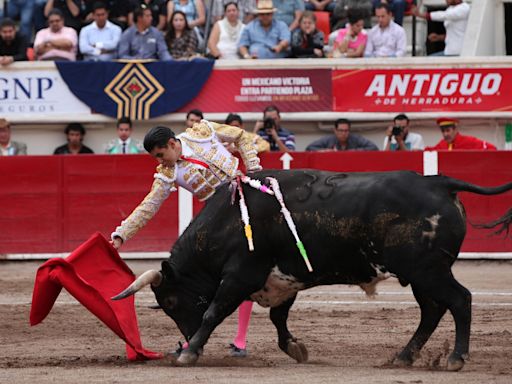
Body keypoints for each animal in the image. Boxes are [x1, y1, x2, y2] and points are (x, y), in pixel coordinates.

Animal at [113, 170, 512, 370]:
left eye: (171, 301)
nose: (184, 337)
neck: (229, 219)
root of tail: (438, 181)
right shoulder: (284, 281)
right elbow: (278, 318)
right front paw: (295, 348)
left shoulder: (241, 275)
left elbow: (214, 311)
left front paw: (190, 352)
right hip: (419, 275)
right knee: (432, 310)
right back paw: (403, 357)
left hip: (428, 270)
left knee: (460, 300)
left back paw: (455, 359)